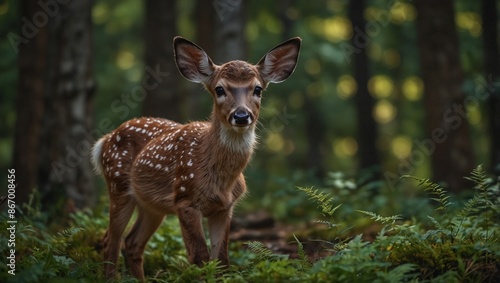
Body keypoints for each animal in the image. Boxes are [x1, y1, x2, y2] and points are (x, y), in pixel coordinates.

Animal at [91, 36, 300, 282]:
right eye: (220, 89)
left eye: (257, 89)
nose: (241, 116)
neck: (221, 179)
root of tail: (105, 139)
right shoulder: (185, 199)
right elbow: (199, 257)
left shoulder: (225, 207)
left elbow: (222, 260)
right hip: (118, 185)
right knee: (110, 241)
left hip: (152, 205)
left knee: (131, 243)